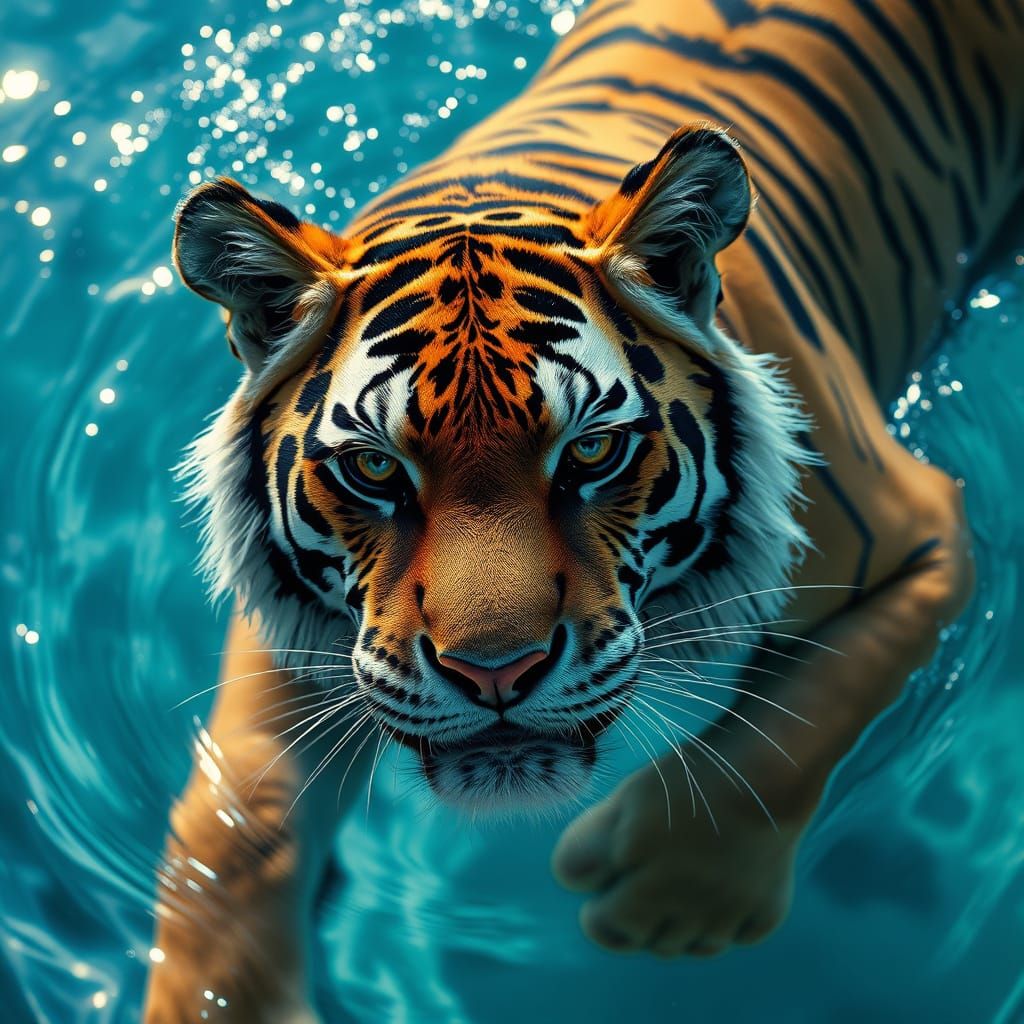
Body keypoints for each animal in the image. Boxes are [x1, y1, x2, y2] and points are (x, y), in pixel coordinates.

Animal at [144, 0, 1018, 1020]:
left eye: (591, 451)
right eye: (373, 468)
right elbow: (236, 821)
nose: (495, 673)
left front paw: (674, 895)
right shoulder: (298, 635)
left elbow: (805, 715)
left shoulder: (926, 537)